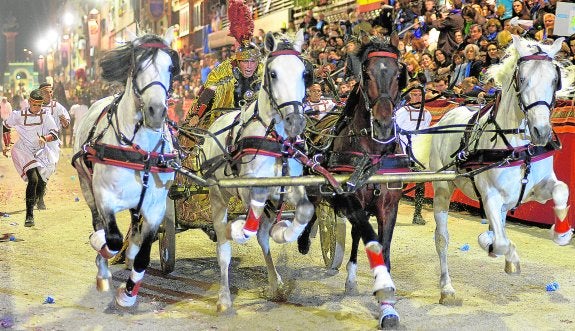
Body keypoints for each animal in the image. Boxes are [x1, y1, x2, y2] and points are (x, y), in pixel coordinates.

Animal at [72, 28, 180, 308]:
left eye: (171, 67)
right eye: (138, 66)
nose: (156, 111)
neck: (141, 153)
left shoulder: (155, 207)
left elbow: (144, 253)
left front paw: (129, 292)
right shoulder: (104, 197)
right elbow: (111, 238)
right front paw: (101, 248)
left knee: (134, 223)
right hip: (85, 184)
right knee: (98, 222)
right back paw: (102, 262)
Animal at [200, 29, 312, 312]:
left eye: (304, 73)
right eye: (273, 73)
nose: (295, 121)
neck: (275, 138)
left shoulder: (290, 186)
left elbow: (304, 212)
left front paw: (284, 233)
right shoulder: (249, 188)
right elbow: (246, 226)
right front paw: (238, 229)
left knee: (262, 236)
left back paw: (275, 283)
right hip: (218, 194)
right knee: (223, 244)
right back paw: (224, 296)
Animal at [300, 35, 408, 330]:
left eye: (397, 75)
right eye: (367, 75)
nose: (383, 124)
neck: (372, 152)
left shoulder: (388, 206)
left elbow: (383, 248)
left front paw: (387, 306)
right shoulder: (352, 199)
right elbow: (366, 237)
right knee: (314, 209)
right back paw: (304, 241)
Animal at [416, 35, 572, 304]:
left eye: (555, 79)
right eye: (522, 79)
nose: (541, 132)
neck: (518, 148)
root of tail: (450, 113)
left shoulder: (539, 189)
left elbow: (561, 190)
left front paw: (561, 233)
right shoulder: (490, 195)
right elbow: (499, 242)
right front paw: (500, 250)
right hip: (443, 188)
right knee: (442, 238)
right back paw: (447, 288)